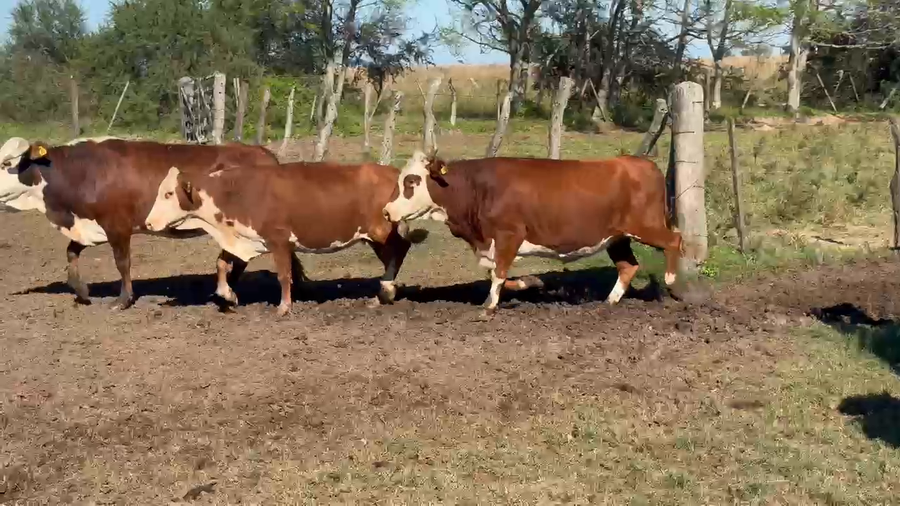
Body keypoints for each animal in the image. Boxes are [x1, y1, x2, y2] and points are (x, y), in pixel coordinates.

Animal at [0, 136, 307, 310]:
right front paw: (82, 292)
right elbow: (71, 252)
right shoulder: (91, 225)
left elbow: (122, 263)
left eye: (6, 163)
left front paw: (123, 300)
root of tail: (264, 154)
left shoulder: (118, 226)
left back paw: (227, 290)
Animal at [142, 160, 426, 316]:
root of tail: (394, 174)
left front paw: (284, 307)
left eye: (168, 193)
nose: (148, 222)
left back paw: (386, 289)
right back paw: (384, 292)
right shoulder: (245, 237)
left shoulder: (278, 241)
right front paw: (228, 295)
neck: (236, 192)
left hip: (380, 231)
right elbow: (221, 264)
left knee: (401, 248)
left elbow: (283, 275)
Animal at [382, 150, 683, 312]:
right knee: (628, 266)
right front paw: (529, 283)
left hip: (646, 226)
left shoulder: (508, 235)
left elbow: (499, 273)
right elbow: (498, 273)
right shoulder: (493, 243)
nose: (386, 211)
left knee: (675, 240)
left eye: (412, 181)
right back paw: (609, 301)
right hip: (617, 237)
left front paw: (489, 306)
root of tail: (640, 162)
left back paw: (670, 281)